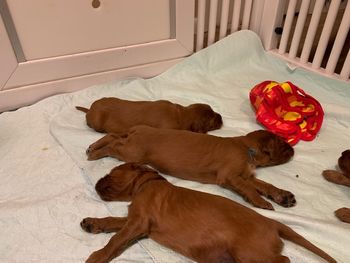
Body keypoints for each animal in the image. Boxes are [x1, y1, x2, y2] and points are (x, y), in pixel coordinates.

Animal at [80, 164, 338, 262]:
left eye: (111, 173)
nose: (97, 182)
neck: (148, 183)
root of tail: (273, 223)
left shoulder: (139, 222)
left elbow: (116, 240)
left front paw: (98, 255)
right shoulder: (136, 221)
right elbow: (113, 221)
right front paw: (93, 223)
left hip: (249, 252)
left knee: (284, 260)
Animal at [87, 126, 296, 210]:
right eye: (282, 143)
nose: (293, 149)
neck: (246, 147)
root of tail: (138, 128)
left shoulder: (247, 176)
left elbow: (265, 185)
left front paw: (281, 195)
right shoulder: (230, 176)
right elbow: (250, 189)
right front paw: (260, 201)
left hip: (129, 145)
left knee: (113, 136)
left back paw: (94, 146)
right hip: (132, 152)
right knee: (112, 144)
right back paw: (95, 152)